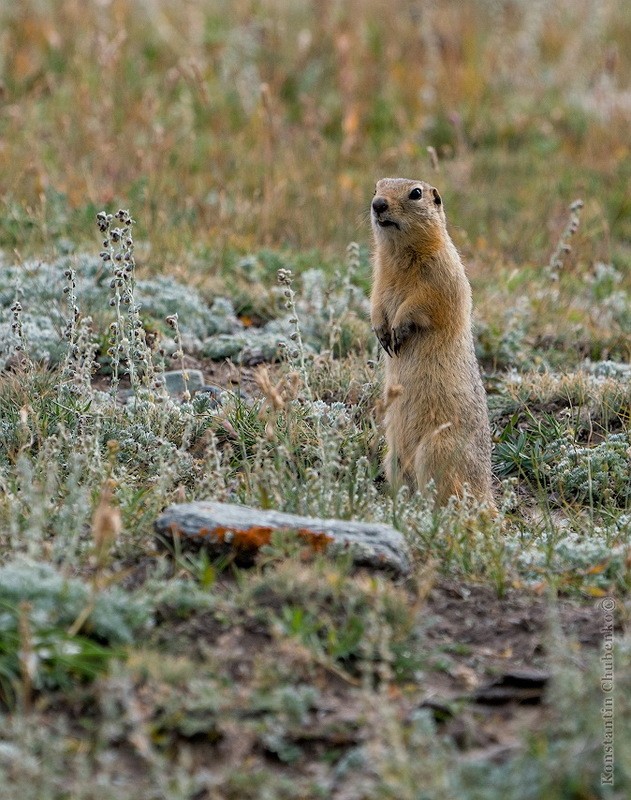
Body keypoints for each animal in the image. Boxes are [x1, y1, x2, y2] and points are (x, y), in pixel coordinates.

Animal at [370, 178, 494, 506]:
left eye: (416, 193)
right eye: (376, 187)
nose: (378, 204)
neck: (399, 255)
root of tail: (487, 493)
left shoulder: (441, 274)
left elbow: (424, 302)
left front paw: (399, 329)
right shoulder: (378, 278)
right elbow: (375, 302)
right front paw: (382, 332)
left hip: (436, 449)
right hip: (392, 458)